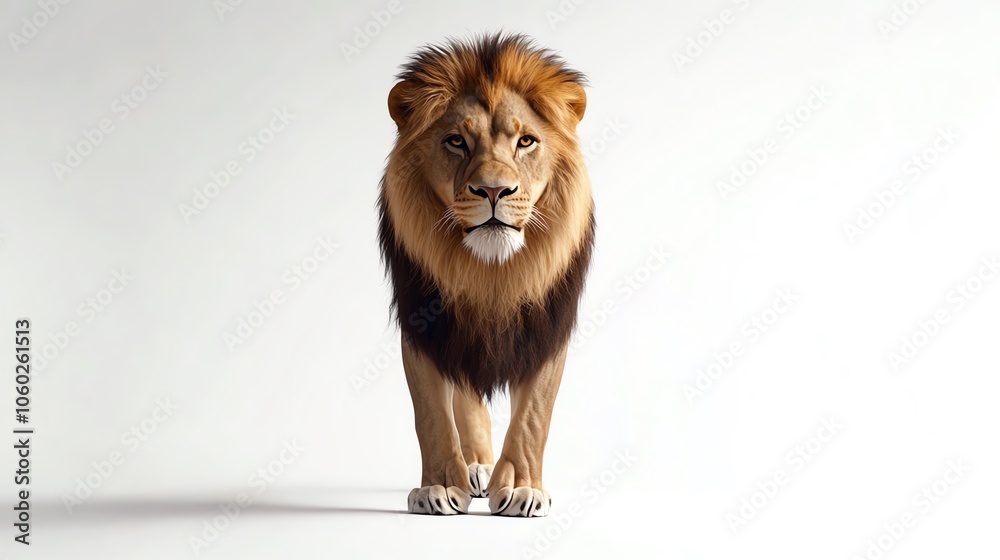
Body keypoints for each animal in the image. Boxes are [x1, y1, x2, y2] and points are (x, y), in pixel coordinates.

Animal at [377, 33, 594, 517]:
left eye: (526, 141)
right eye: (456, 141)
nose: (494, 190)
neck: (489, 274)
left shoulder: (548, 326)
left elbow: (533, 416)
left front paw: (522, 488)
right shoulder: (424, 324)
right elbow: (432, 415)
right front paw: (439, 487)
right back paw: (474, 466)